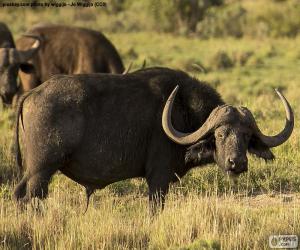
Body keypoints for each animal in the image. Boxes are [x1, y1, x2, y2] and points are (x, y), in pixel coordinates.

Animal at [13, 67, 292, 212]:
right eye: (221, 134)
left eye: (246, 136)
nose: (238, 163)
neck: (182, 111)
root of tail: (31, 94)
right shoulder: (158, 179)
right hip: (41, 172)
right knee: (30, 199)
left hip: (32, 173)